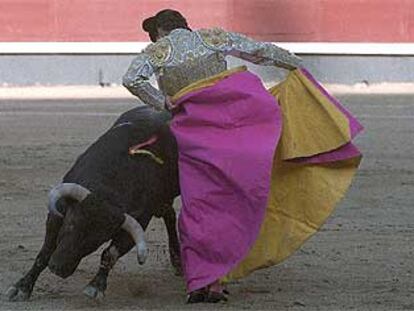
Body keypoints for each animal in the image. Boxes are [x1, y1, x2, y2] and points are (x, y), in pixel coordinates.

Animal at [6, 105, 181, 302]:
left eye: (98, 240)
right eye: (71, 224)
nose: (58, 268)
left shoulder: (139, 221)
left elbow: (110, 254)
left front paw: (96, 286)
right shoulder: (58, 213)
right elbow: (45, 251)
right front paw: (22, 287)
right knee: (169, 213)